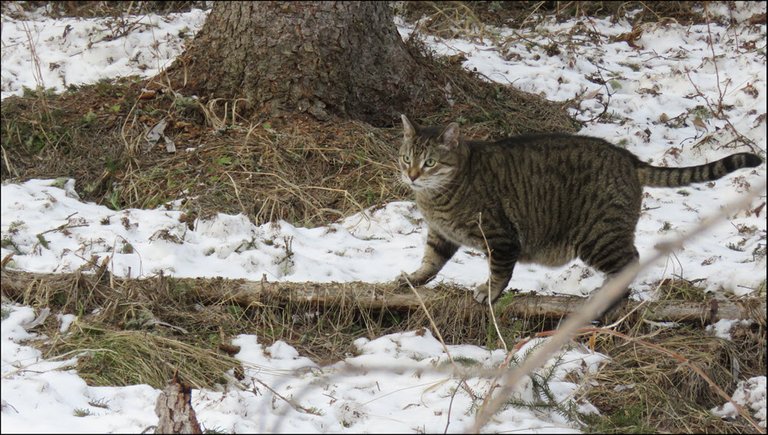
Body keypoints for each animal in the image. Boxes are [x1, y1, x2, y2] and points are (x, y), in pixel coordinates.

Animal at [396, 116, 760, 306]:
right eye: (406, 158)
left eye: (430, 162)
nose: (411, 175)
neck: (435, 198)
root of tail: (628, 157)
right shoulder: (440, 235)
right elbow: (430, 261)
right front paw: (413, 278)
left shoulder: (501, 238)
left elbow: (499, 272)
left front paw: (488, 291)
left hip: (598, 236)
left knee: (631, 262)